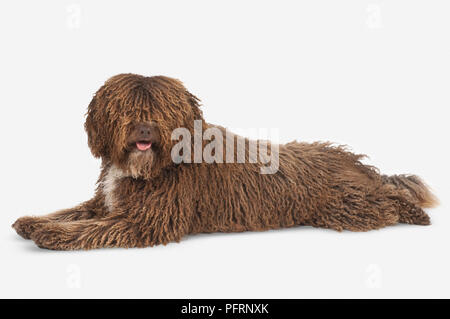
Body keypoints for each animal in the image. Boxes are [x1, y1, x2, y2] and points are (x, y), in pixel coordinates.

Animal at [12, 74, 438, 250]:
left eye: (160, 108)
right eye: (127, 107)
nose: (145, 129)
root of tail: (352, 161)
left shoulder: (148, 220)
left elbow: (91, 229)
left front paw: (49, 234)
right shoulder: (107, 201)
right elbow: (75, 212)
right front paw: (33, 221)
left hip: (345, 205)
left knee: (386, 201)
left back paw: (415, 211)